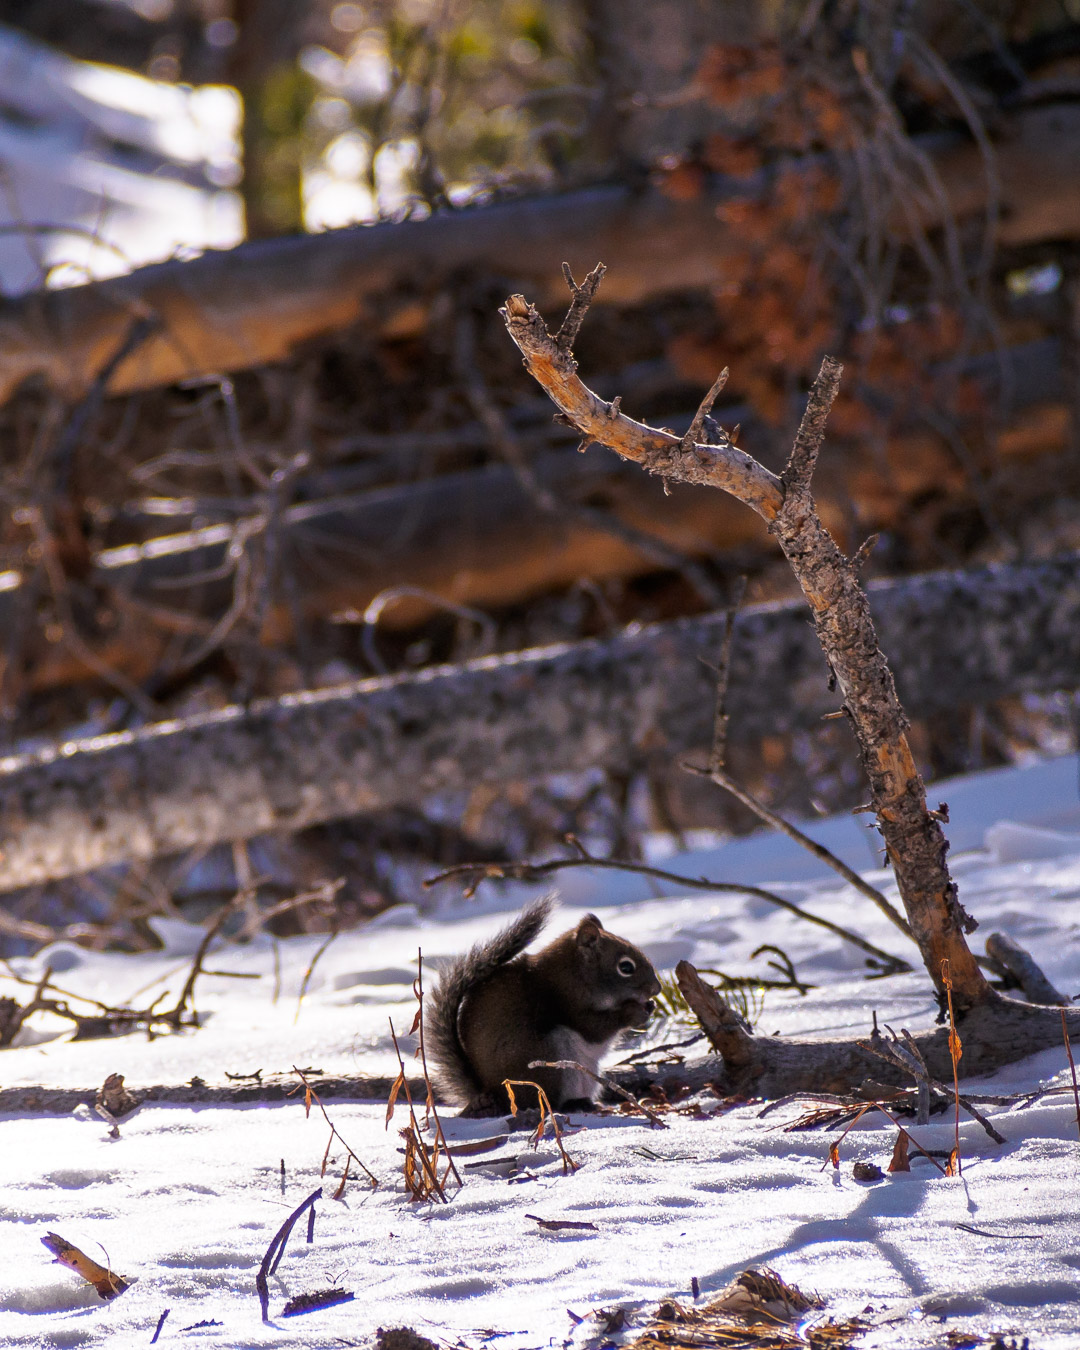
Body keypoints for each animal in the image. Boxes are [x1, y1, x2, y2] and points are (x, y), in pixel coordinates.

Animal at [423, 901, 658, 1112]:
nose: (656, 989)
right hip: (549, 1061)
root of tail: (491, 1092)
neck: (575, 973)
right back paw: (574, 1105)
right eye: (625, 967)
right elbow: (595, 1028)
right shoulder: (568, 1002)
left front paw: (650, 1005)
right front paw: (634, 1012)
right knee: (549, 1101)